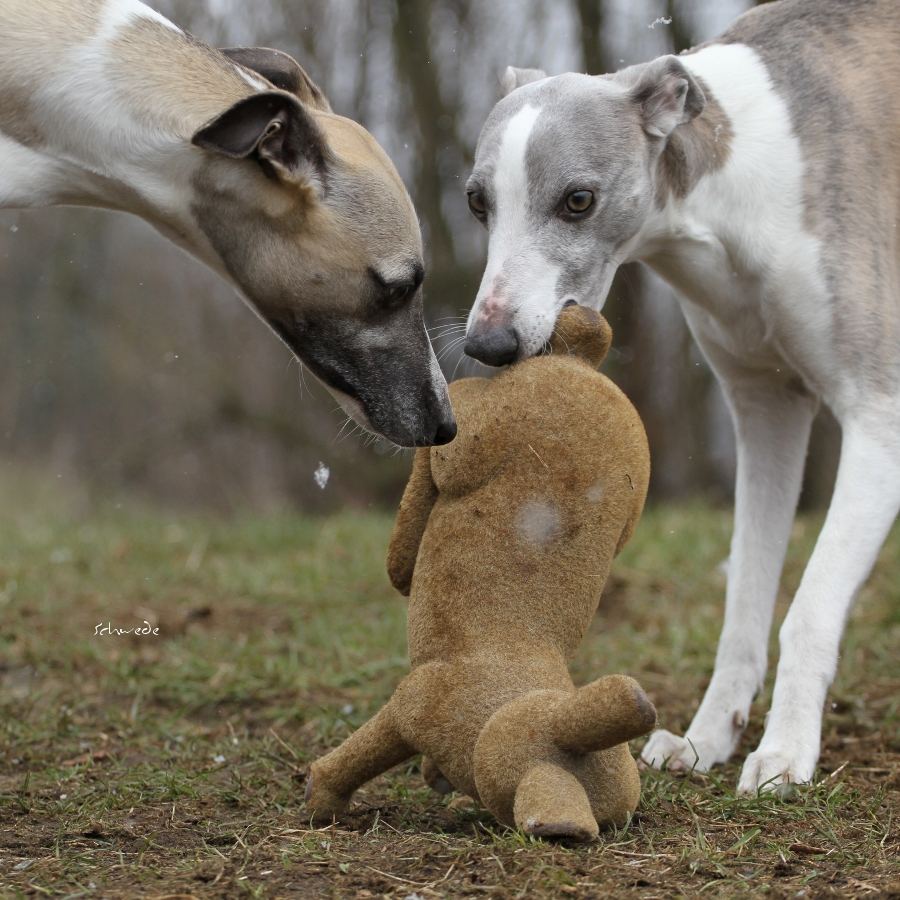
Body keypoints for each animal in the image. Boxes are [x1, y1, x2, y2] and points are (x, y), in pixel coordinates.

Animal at [464, 0, 900, 792]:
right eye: (478, 202)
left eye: (579, 200)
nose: (489, 344)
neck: (735, 188)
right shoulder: (766, 411)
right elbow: (744, 598)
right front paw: (706, 738)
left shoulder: (879, 421)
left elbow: (810, 606)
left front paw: (787, 751)